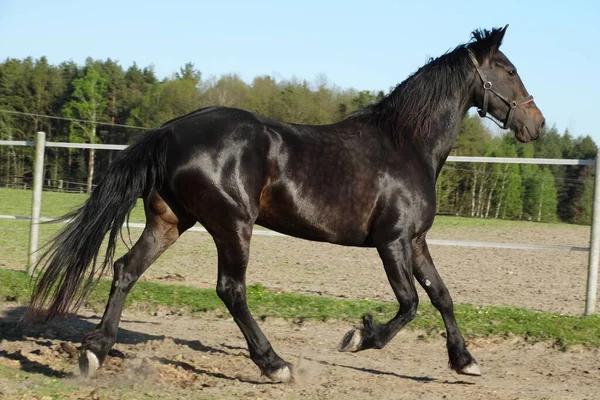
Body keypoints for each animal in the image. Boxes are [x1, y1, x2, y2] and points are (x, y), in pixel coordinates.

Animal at [28, 26, 544, 382]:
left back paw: (94, 351)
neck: (406, 145)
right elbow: (410, 303)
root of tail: (170, 131)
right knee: (230, 290)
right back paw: (274, 364)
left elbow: (442, 296)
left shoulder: (416, 240)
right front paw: (359, 337)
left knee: (125, 270)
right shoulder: (392, 241)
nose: (536, 124)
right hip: (233, 225)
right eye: (510, 70)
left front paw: (465, 361)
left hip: (171, 221)